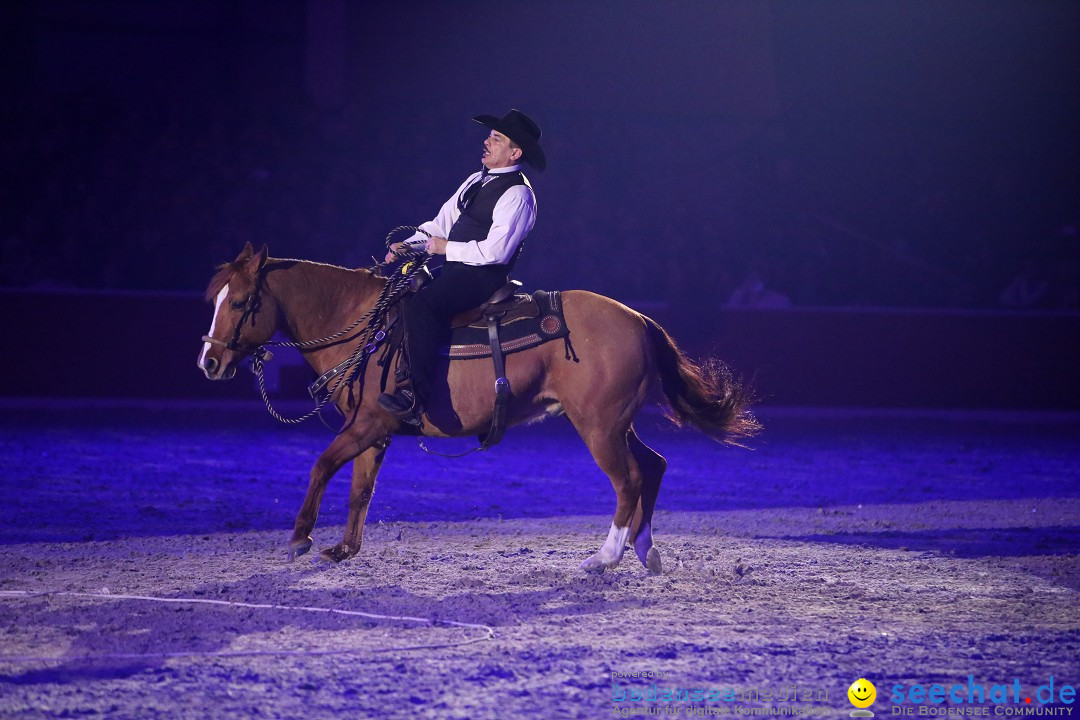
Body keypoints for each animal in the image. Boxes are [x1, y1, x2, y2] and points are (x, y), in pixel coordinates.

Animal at [198, 245, 764, 578]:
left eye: (242, 301)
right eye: (215, 297)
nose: (209, 361)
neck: (363, 325)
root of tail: (639, 319)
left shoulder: (366, 423)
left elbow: (320, 466)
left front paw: (300, 537)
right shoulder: (374, 431)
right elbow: (361, 489)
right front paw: (343, 549)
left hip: (599, 427)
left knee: (628, 479)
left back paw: (604, 557)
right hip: (613, 422)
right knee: (653, 466)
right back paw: (646, 551)